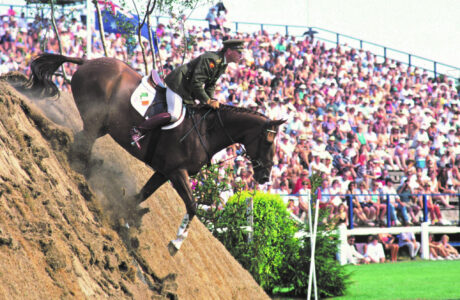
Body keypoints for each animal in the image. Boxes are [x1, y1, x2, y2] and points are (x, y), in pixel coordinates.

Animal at [24, 52, 284, 250]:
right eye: (268, 142)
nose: (265, 177)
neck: (206, 131)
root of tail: (88, 61)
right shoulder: (177, 172)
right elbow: (192, 205)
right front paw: (176, 243)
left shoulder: (164, 172)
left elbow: (143, 194)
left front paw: (126, 217)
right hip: (94, 121)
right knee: (83, 146)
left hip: (101, 126)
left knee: (80, 142)